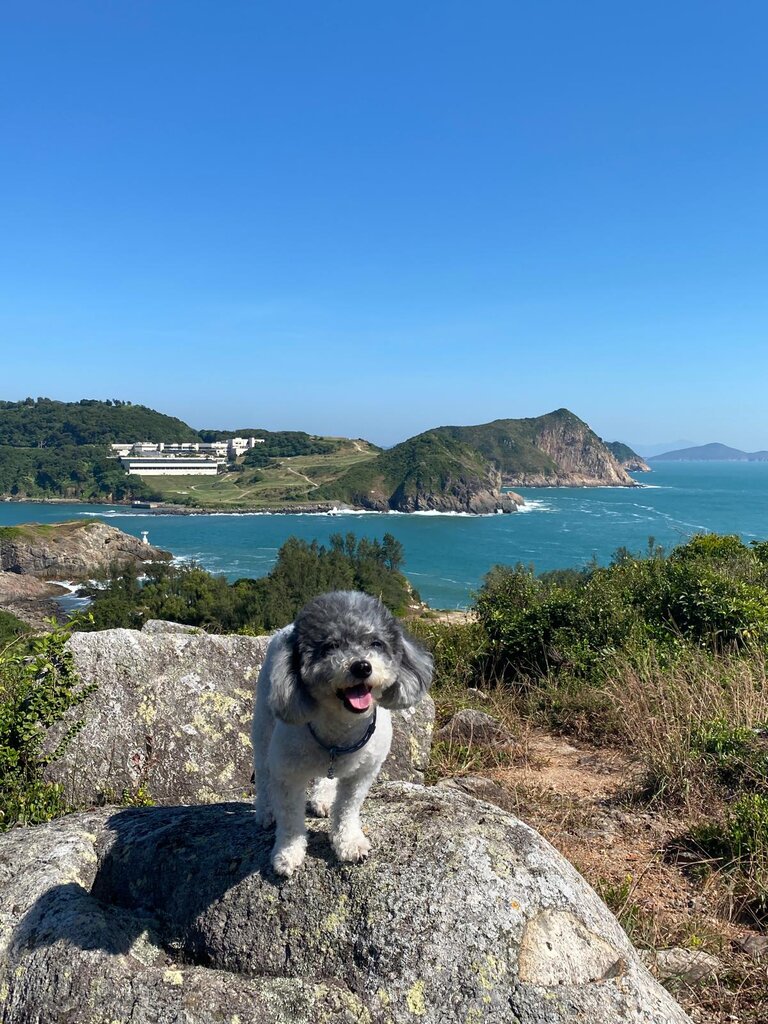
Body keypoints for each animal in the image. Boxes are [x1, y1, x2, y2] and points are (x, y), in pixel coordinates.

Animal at [252, 590, 433, 877]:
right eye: (330, 647)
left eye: (376, 643)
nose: (362, 666)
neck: (340, 733)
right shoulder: (287, 775)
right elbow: (289, 819)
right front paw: (287, 854)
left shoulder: (363, 773)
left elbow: (348, 808)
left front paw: (348, 843)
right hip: (262, 724)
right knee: (262, 770)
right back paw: (265, 811)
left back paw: (323, 798)